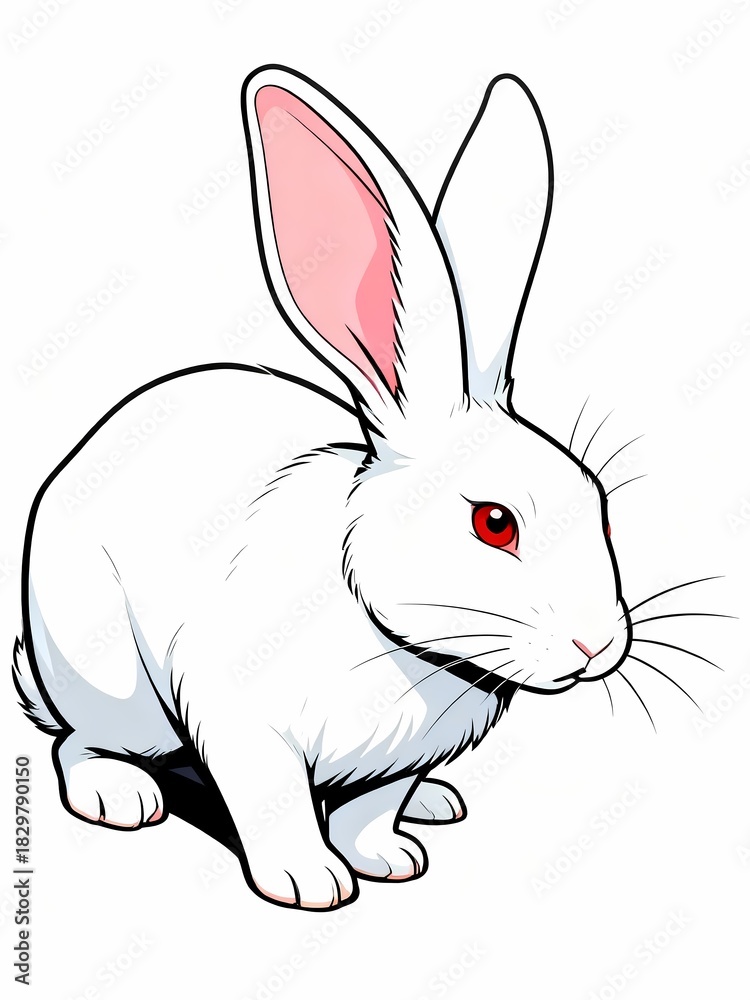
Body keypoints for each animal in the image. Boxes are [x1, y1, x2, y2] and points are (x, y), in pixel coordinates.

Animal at [13, 65, 633, 910]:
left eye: (599, 506)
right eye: (495, 523)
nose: (596, 645)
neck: (401, 644)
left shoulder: (399, 762)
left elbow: (374, 809)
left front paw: (389, 858)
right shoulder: (242, 726)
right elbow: (272, 804)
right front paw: (310, 884)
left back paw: (437, 806)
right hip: (121, 694)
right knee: (80, 744)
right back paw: (119, 795)